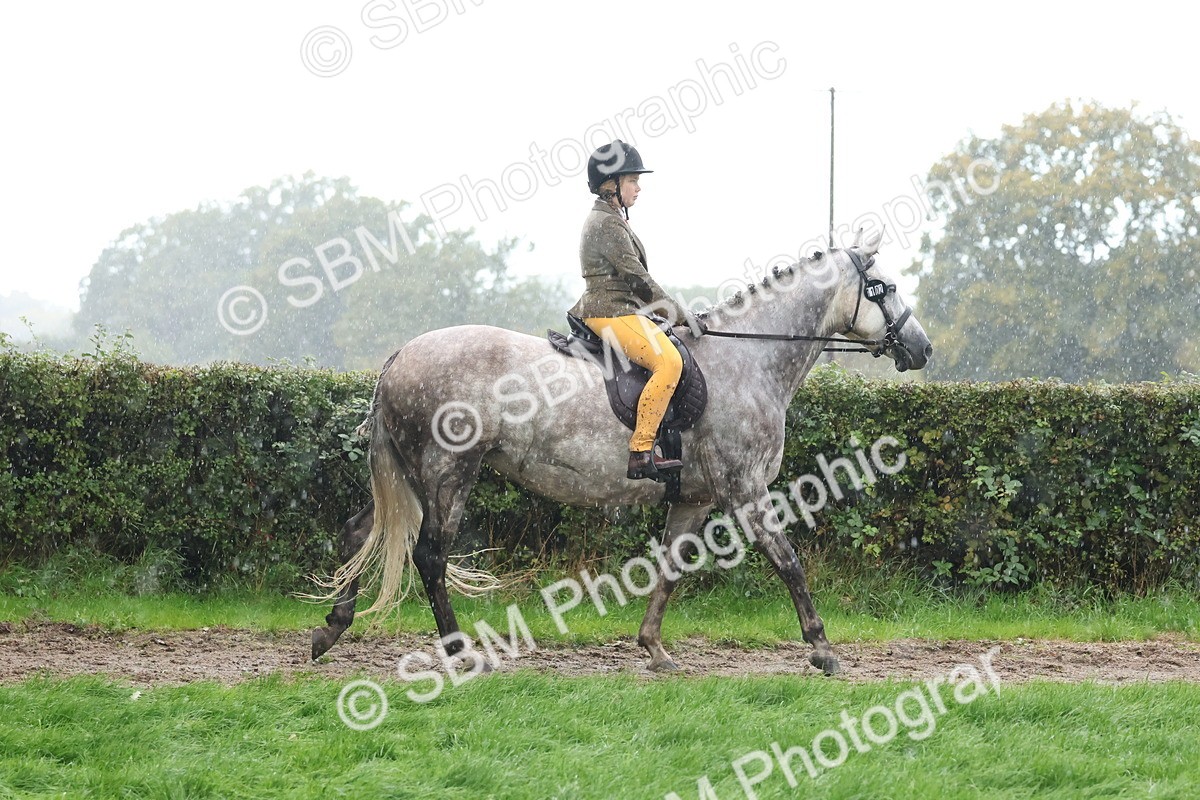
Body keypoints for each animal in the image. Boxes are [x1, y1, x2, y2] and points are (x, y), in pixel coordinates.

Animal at [310, 227, 932, 675]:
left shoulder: (696, 498)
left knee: (358, 532)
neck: (748, 360)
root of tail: (401, 356)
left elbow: (672, 567)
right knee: (431, 556)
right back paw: (462, 653)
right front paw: (823, 649)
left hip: (410, 473)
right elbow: (788, 561)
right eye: (884, 287)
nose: (922, 348)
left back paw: (329, 630)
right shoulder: (745, 490)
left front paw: (654, 649)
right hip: (447, 473)